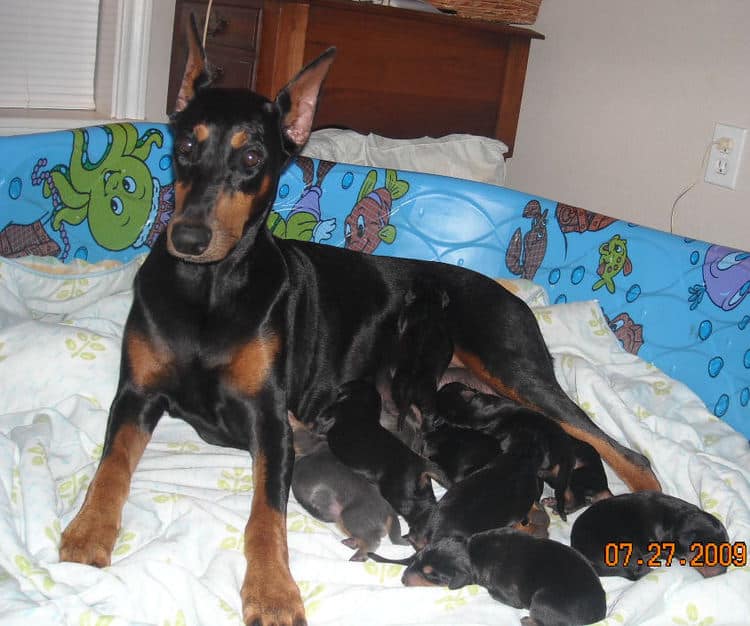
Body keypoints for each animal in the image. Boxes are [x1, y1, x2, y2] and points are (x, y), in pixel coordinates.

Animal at [288, 412, 408, 560]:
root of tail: (389, 510)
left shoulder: (306, 440)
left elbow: (299, 429)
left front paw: (291, 418)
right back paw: (352, 543)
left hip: (350, 516)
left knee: (372, 542)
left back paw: (358, 556)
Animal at [318, 378, 446, 540]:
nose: (338, 390)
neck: (361, 403)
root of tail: (420, 462)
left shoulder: (331, 413)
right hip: (420, 489)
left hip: (400, 496)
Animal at [470, 528, 612, 624]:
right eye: (490, 532)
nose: (471, 538)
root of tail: (595, 620)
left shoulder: (508, 593)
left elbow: (495, 593)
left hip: (541, 599)